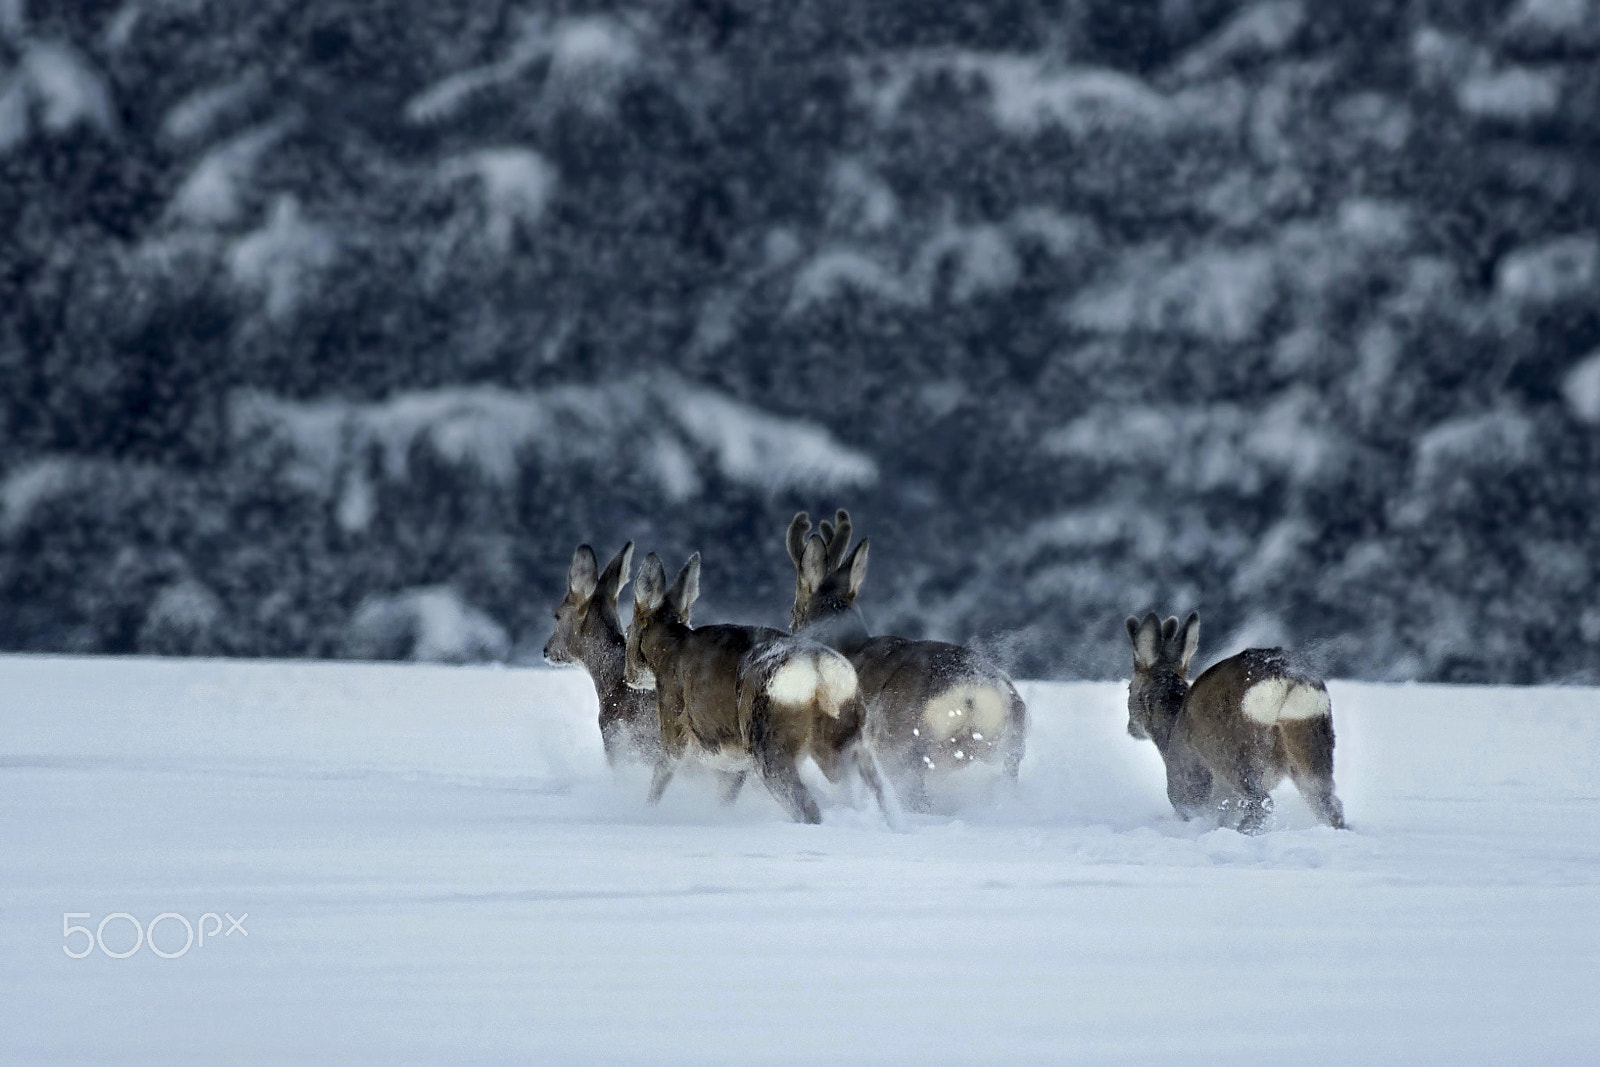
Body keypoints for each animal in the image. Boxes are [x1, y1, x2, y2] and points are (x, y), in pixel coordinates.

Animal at [624, 550, 902, 825]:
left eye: (628, 630)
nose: (628, 676)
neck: (669, 651)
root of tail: (819, 671)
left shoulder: (674, 723)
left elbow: (660, 778)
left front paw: (648, 812)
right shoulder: (732, 763)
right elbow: (725, 797)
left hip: (768, 737)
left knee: (807, 807)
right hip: (849, 736)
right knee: (876, 793)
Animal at [1132, 607, 1344, 831]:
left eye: (1129, 688)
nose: (1131, 728)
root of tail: (1286, 675)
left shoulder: (1189, 793)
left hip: (1231, 748)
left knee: (1261, 801)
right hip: (1311, 733)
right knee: (1329, 803)